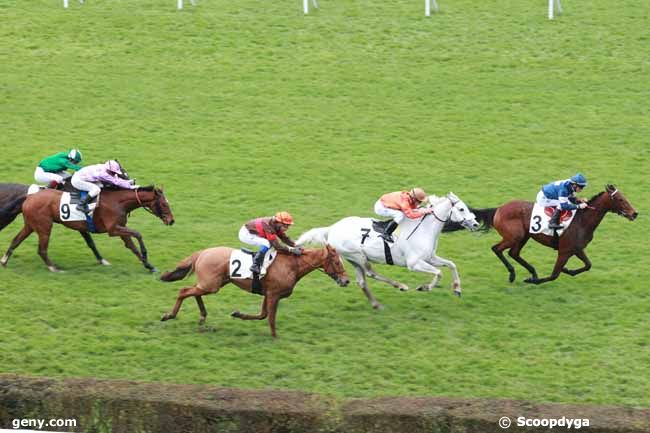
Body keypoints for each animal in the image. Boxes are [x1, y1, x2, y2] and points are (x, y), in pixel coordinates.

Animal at [0, 185, 175, 272]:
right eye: (164, 204)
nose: (172, 221)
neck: (118, 201)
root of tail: (30, 196)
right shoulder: (113, 229)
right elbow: (138, 234)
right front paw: (145, 257)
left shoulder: (120, 228)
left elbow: (132, 246)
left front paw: (148, 265)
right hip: (44, 226)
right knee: (41, 250)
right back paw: (54, 268)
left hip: (30, 225)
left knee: (16, 240)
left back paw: (4, 261)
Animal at [159, 245, 346, 336]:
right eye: (337, 262)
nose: (346, 280)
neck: (292, 265)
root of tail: (202, 253)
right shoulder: (274, 295)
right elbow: (270, 318)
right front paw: (275, 338)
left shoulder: (268, 294)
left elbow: (262, 315)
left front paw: (238, 314)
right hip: (211, 284)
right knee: (184, 291)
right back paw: (170, 315)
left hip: (212, 284)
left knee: (193, 292)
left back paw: (202, 317)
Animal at [296, 194, 478, 308]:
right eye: (462, 209)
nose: (475, 224)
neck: (424, 229)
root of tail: (332, 229)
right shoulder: (414, 263)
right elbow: (439, 273)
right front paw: (424, 287)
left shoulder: (430, 258)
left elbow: (452, 265)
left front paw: (457, 289)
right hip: (358, 256)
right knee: (371, 273)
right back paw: (400, 286)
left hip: (353, 259)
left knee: (362, 281)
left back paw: (376, 304)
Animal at [448, 185, 636, 284]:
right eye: (620, 199)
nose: (635, 213)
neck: (582, 220)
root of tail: (499, 209)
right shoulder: (564, 251)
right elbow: (554, 275)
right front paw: (533, 281)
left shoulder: (576, 249)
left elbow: (588, 265)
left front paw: (568, 270)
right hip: (514, 236)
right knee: (497, 249)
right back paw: (514, 274)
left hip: (524, 236)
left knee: (513, 253)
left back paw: (531, 272)